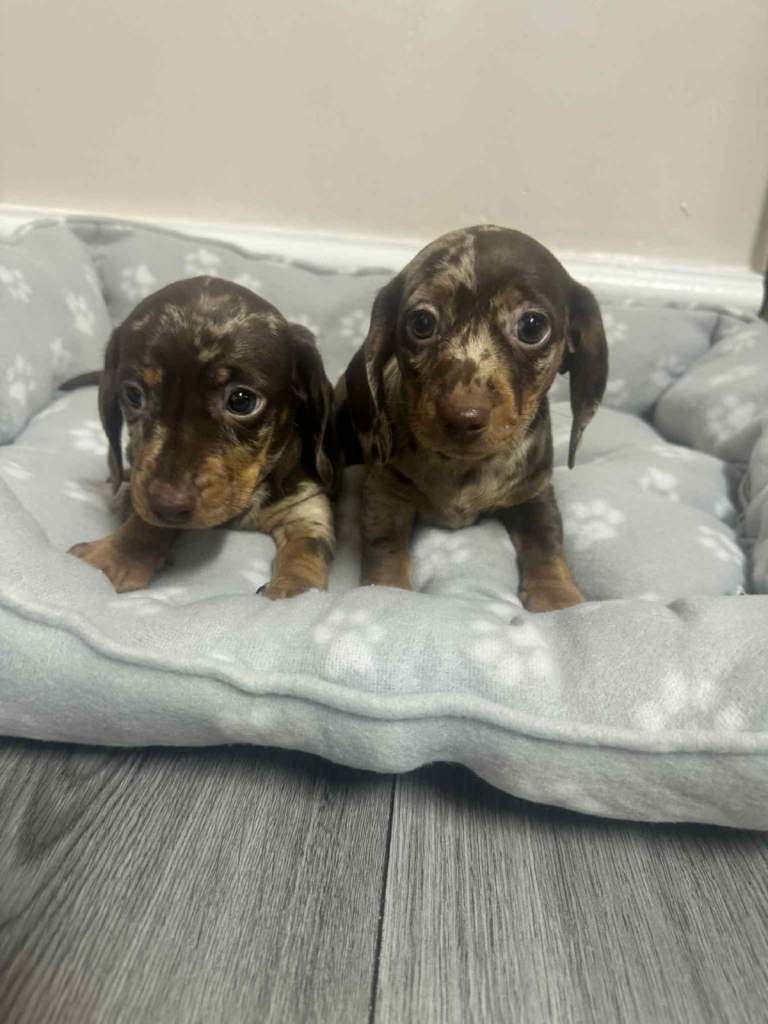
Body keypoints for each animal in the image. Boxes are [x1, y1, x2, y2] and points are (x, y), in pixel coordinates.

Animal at [65, 276, 338, 599]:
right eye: (133, 394)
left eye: (242, 401)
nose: (169, 506)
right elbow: (145, 520)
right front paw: (119, 556)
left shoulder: (307, 506)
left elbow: (307, 547)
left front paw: (293, 589)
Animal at [335, 225, 608, 612]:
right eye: (422, 322)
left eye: (532, 326)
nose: (463, 416)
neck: (462, 467)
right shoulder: (385, 492)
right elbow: (384, 547)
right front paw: (387, 593)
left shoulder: (533, 492)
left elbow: (546, 541)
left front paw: (558, 598)